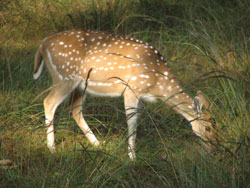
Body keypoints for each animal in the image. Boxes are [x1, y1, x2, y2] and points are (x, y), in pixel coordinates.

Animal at [33, 29, 216, 160]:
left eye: (217, 125)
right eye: (208, 127)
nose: (213, 149)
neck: (158, 84)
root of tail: (43, 44)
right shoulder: (131, 89)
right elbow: (132, 122)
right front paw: (132, 157)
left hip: (80, 85)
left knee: (74, 109)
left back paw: (98, 145)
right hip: (64, 76)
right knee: (49, 102)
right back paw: (52, 149)